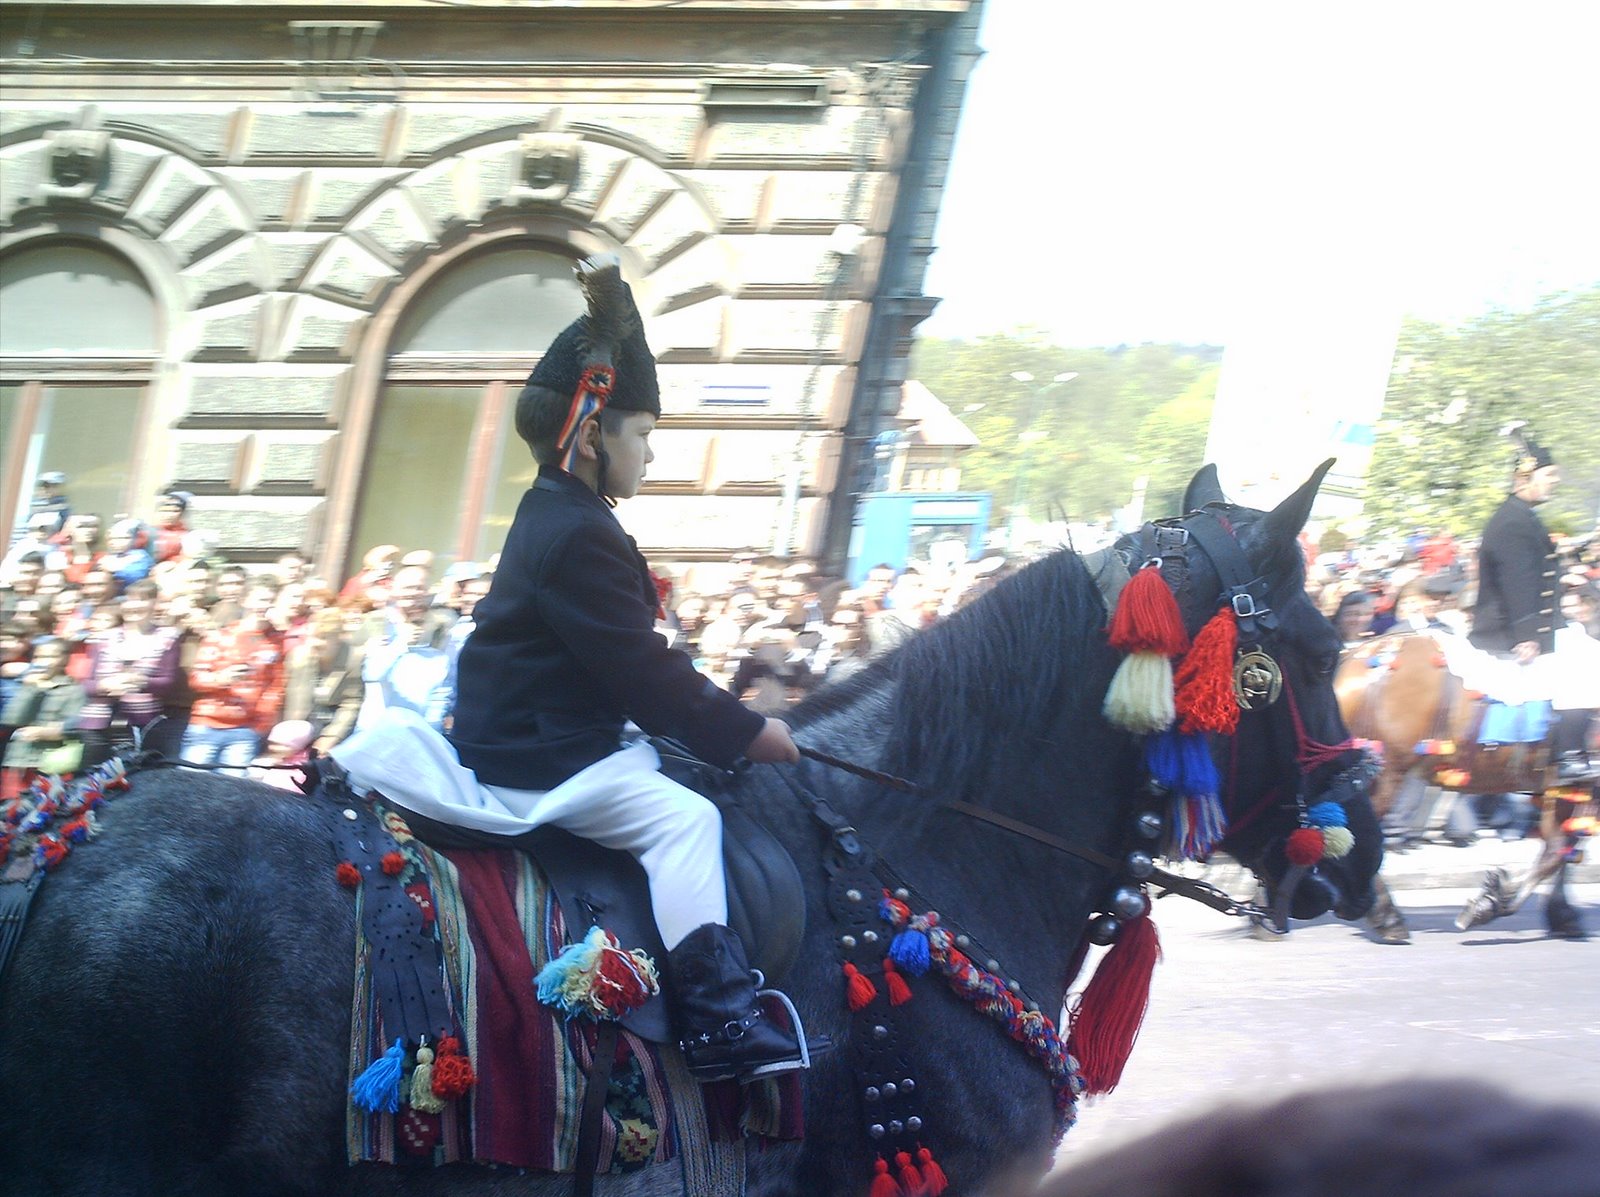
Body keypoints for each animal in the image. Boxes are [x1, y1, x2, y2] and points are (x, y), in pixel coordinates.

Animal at [1336, 631, 1592, 942]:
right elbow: (1557, 852)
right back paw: (1386, 916)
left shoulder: (1559, 790)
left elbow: (1560, 849)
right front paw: (1493, 902)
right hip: (1387, 772)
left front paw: (1561, 914)